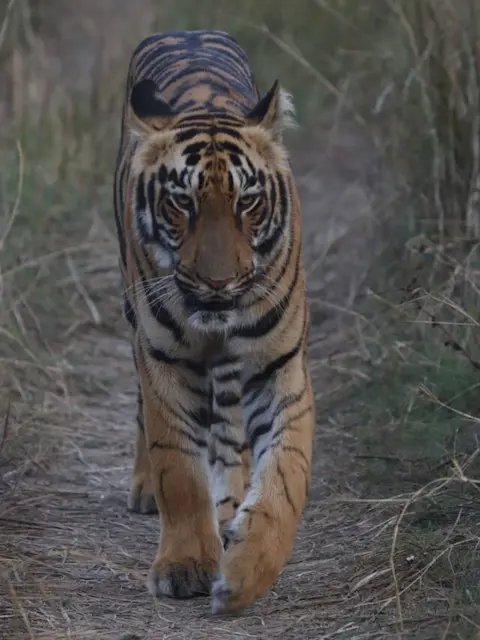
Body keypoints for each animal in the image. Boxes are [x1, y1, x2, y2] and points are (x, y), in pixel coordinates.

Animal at [112, 31, 316, 616]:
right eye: (182, 203)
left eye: (248, 202)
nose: (219, 283)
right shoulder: (163, 358)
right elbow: (178, 468)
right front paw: (184, 567)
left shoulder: (279, 367)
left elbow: (286, 477)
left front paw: (245, 575)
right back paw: (148, 491)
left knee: (227, 429)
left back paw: (228, 505)